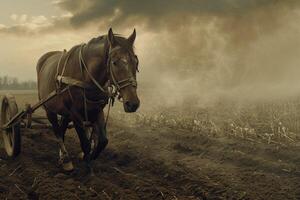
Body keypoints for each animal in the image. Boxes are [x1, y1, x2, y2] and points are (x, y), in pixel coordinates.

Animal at [36, 28, 139, 171]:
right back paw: (66, 159)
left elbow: (102, 141)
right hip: (48, 109)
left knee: (62, 129)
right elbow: (85, 142)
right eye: (114, 62)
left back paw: (63, 157)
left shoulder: (97, 110)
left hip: (65, 113)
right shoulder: (75, 114)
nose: (133, 103)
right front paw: (87, 166)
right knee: (57, 131)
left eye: (136, 62)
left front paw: (89, 156)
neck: (85, 77)